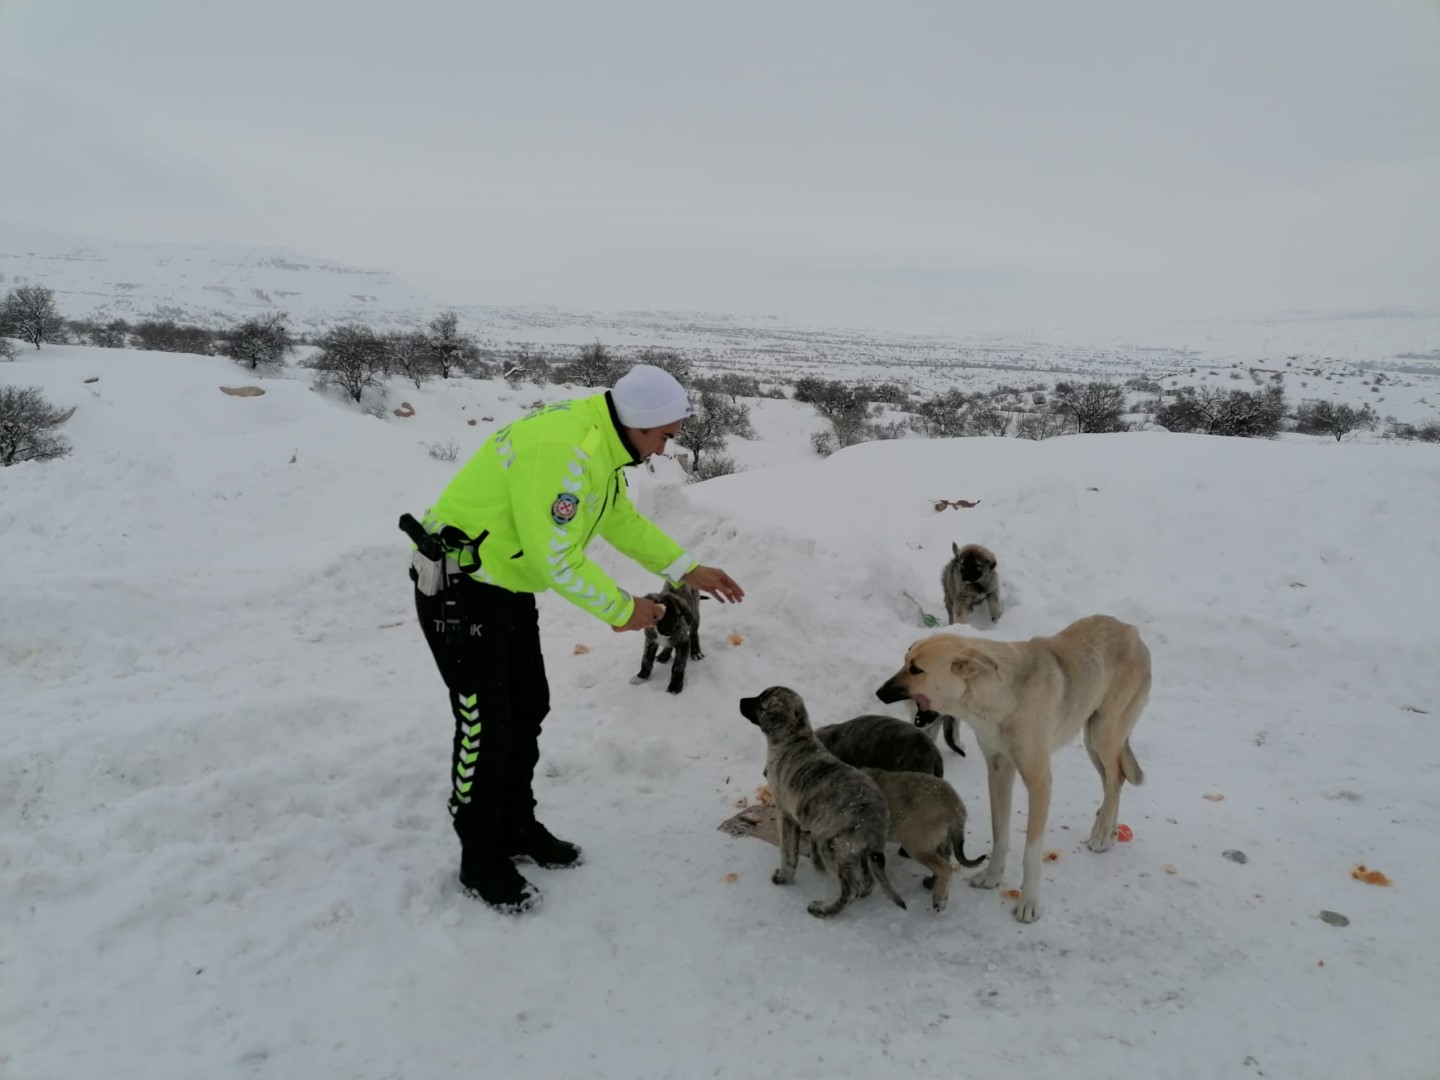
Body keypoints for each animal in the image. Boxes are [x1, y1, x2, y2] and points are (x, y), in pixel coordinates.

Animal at [737, 688, 904, 915]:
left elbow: (788, 853)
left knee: (849, 889)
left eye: (761, 700)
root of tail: (875, 821)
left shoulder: (785, 815)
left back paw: (824, 909)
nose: (740, 701)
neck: (794, 737)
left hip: (832, 845)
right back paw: (861, 895)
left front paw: (784, 877)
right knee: (867, 881)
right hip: (858, 852)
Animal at [869, 616, 1152, 921]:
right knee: (1115, 779)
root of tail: (1130, 630)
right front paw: (992, 877)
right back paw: (1109, 829)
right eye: (905, 661)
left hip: (1103, 733)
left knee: (1114, 779)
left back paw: (1101, 833)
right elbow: (999, 834)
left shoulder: (1039, 782)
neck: (998, 698)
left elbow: (1031, 853)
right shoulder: (998, 771)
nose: (879, 693)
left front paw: (1029, 902)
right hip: (1091, 738)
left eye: (916, 669)